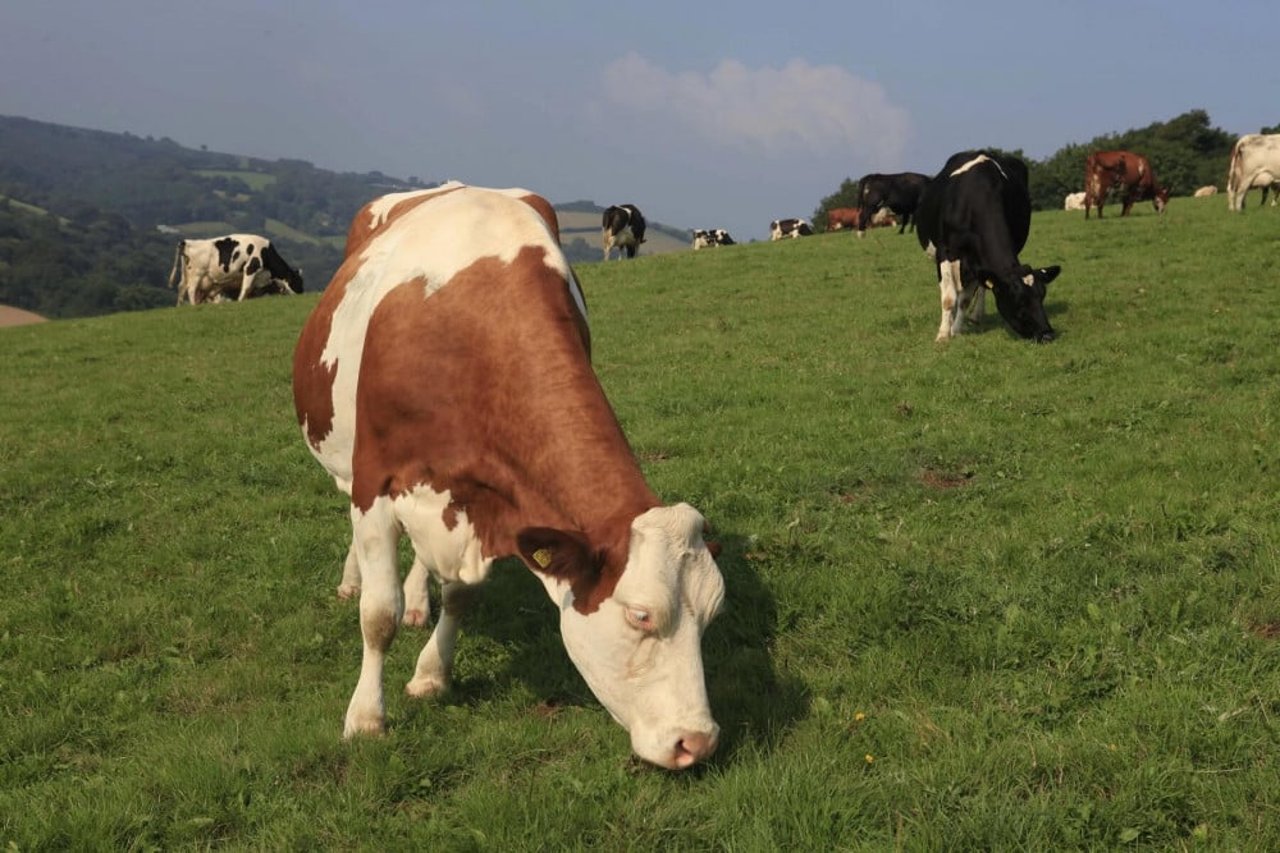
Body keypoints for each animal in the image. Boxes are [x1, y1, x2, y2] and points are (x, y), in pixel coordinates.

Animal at [166, 233, 303, 306]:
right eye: (298, 282)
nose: (302, 293)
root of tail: (186, 242)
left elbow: (249, 290)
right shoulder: (250, 268)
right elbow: (246, 288)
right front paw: (240, 301)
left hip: (186, 275)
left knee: (181, 288)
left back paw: (180, 307)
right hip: (197, 273)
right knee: (191, 290)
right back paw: (194, 305)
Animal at [293, 183, 727, 768]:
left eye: (712, 615)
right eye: (641, 615)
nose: (697, 742)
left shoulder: (485, 503)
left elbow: (461, 597)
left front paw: (431, 674)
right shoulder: (375, 483)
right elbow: (378, 614)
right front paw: (365, 718)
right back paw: (352, 578)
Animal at [916, 153, 1064, 343]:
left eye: (1042, 296)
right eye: (1018, 300)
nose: (1047, 334)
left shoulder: (976, 261)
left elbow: (965, 299)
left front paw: (956, 330)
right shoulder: (946, 253)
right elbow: (949, 299)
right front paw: (943, 335)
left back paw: (976, 315)